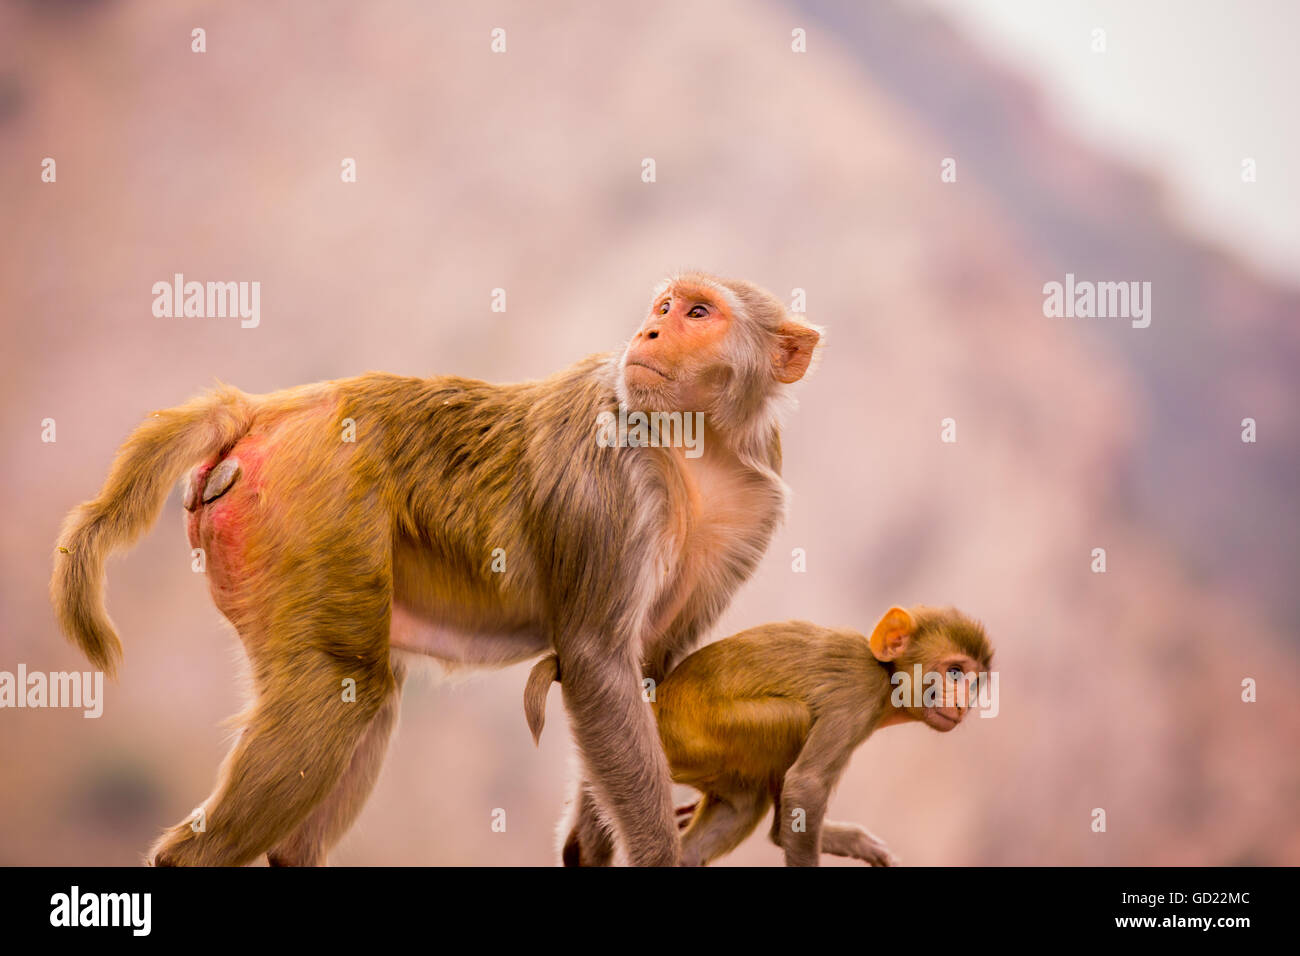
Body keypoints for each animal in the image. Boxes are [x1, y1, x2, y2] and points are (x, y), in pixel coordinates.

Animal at [50, 272, 821, 866]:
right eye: (665, 306)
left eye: (699, 312)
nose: (650, 333)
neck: (696, 447)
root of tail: (272, 407)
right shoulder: (613, 478)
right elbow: (599, 663)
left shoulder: (755, 502)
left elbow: (649, 670)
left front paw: (588, 846)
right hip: (313, 503)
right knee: (339, 685)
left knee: (364, 692)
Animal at [525, 605, 993, 866]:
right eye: (954, 672)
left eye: (974, 682)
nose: (964, 701)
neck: (885, 677)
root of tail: (655, 702)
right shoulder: (857, 698)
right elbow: (805, 785)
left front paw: (850, 841)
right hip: (696, 733)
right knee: (793, 719)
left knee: (743, 802)